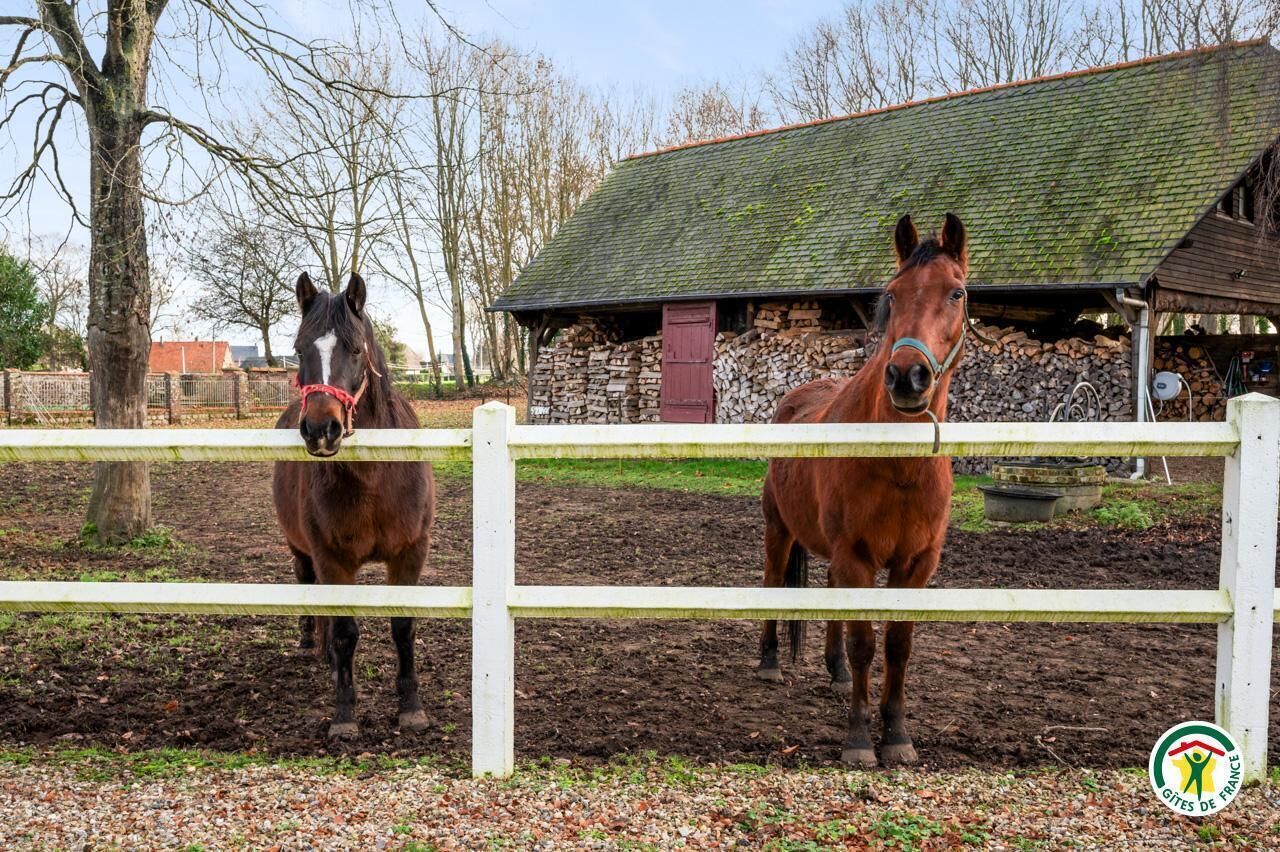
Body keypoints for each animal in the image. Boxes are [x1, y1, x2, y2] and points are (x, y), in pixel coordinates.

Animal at [272, 271, 436, 738]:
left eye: (357, 349)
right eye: (298, 349)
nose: (320, 429)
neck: (375, 479)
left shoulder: (410, 553)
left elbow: (403, 627)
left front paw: (411, 708)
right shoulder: (333, 558)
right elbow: (345, 632)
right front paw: (344, 715)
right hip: (301, 549)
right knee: (307, 586)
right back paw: (312, 644)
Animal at [757, 213, 980, 768]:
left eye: (957, 293)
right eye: (893, 295)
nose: (907, 376)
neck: (896, 463)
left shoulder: (917, 563)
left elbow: (898, 644)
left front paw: (896, 736)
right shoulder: (856, 554)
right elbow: (864, 642)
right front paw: (859, 740)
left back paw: (835, 672)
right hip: (780, 530)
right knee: (772, 582)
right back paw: (770, 662)